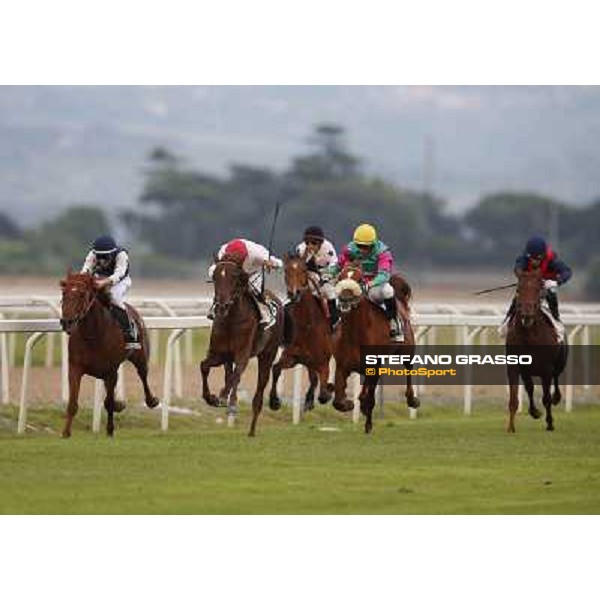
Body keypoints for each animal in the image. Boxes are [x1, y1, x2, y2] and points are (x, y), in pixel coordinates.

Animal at [59, 270, 159, 436]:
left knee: (143, 375)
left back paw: (151, 400)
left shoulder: (111, 371)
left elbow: (109, 403)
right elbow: (73, 403)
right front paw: (66, 433)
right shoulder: (75, 368)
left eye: (82, 294)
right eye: (64, 293)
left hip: (140, 357)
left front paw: (110, 430)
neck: (93, 334)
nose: (66, 322)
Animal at [199, 253, 284, 436]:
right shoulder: (219, 354)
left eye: (234, 277)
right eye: (215, 277)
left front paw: (224, 398)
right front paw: (211, 398)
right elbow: (204, 366)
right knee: (228, 373)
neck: (231, 320)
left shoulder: (242, 353)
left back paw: (252, 427)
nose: (222, 306)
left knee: (260, 389)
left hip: (268, 353)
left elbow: (236, 374)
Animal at [268, 250, 336, 412]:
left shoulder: (323, 362)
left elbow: (323, 387)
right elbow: (276, 369)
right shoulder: (292, 357)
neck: (307, 325)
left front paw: (327, 392)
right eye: (286, 270)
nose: (294, 293)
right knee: (313, 377)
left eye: (304, 270)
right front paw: (274, 401)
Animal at [330, 264, 420, 434]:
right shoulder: (343, 365)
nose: (344, 299)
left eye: (359, 279)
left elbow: (370, 398)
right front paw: (349, 404)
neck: (355, 334)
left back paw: (413, 399)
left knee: (409, 369)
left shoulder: (374, 365)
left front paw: (368, 424)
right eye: (340, 278)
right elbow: (338, 401)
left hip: (407, 350)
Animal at [506, 268, 568, 432]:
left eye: (538, 289)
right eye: (518, 289)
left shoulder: (546, 368)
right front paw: (511, 427)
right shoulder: (515, 366)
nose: (527, 315)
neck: (530, 337)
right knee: (530, 388)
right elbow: (515, 398)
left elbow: (546, 398)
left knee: (556, 378)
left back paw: (556, 398)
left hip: (559, 363)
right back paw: (534, 411)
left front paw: (550, 423)